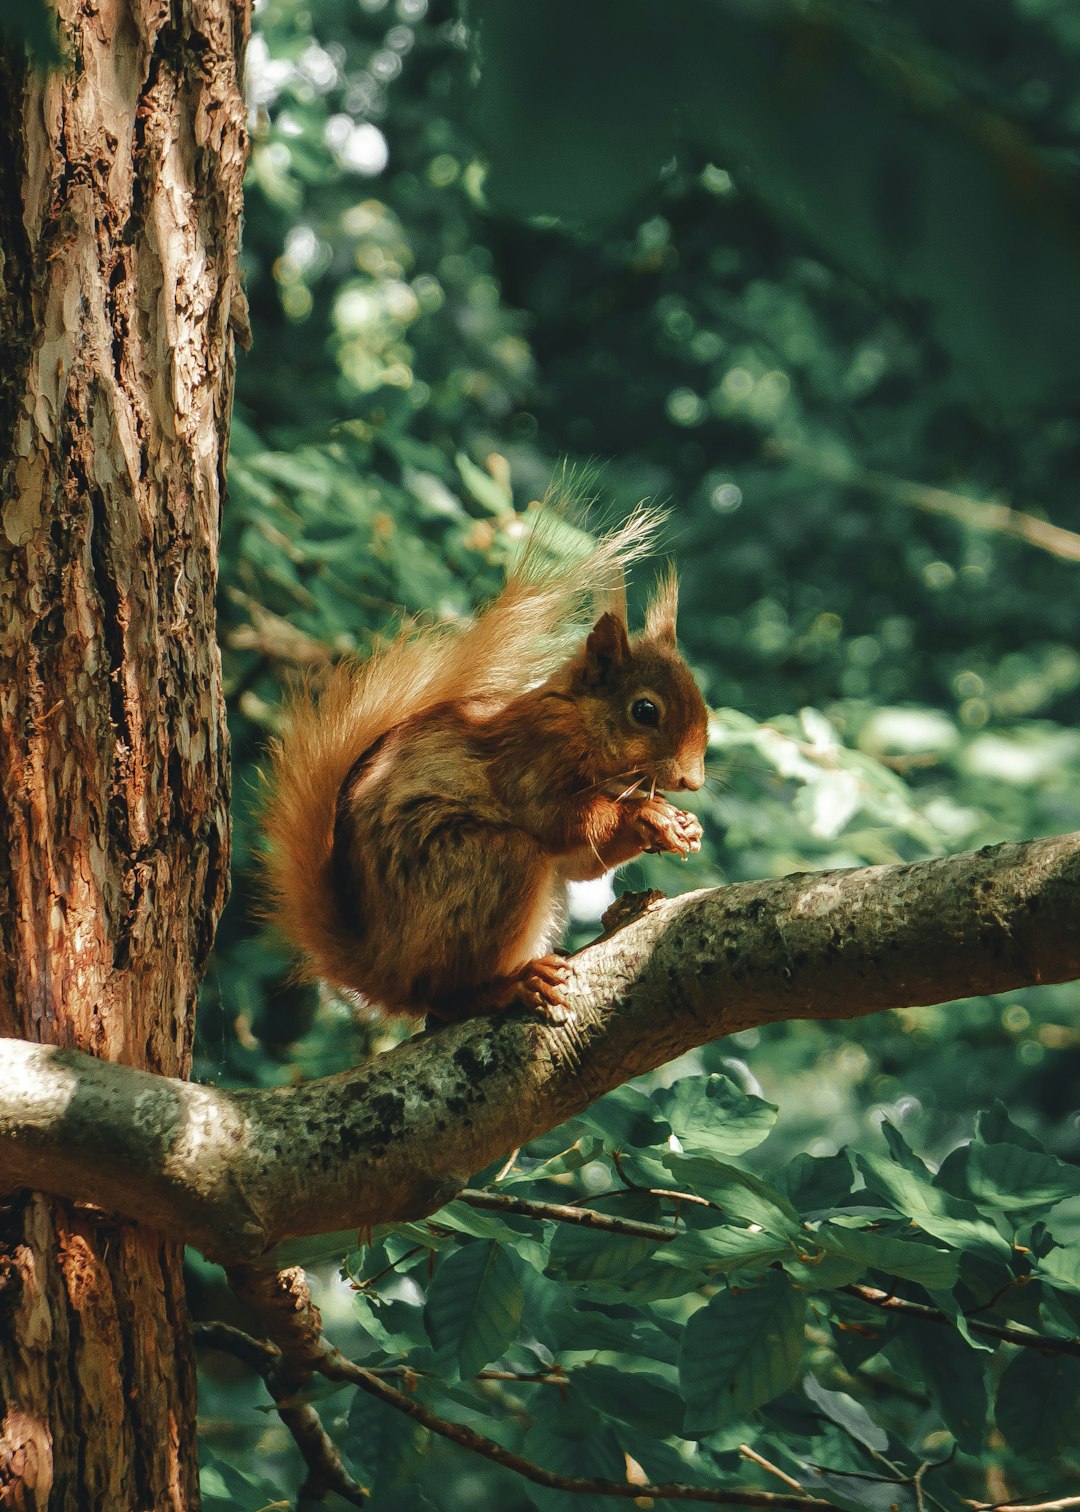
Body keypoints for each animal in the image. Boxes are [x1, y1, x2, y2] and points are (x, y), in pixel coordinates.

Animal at [261, 506, 709, 1025]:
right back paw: (511, 985)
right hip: (484, 868)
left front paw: (682, 824)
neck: (576, 719)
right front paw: (647, 814)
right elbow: (560, 820)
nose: (692, 780)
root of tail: (382, 969)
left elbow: (579, 862)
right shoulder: (529, 760)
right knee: (445, 993)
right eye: (645, 710)